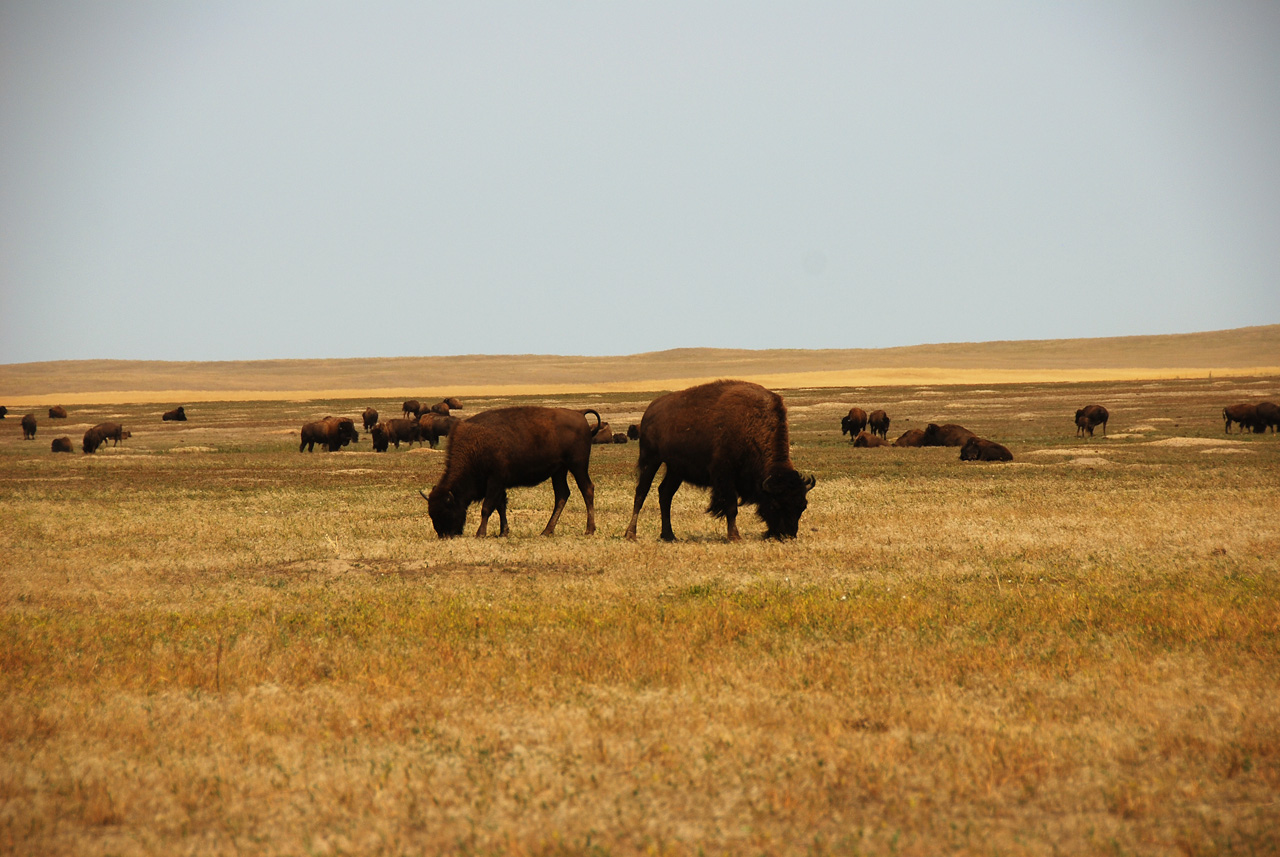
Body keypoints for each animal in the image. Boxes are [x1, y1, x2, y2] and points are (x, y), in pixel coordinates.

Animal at [417, 406, 601, 539]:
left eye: (445, 511)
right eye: (431, 513)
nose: (444, 535)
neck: (474, 446)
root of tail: (579, 414)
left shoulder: (495, 481)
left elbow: (487, 507)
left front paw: (480, 533)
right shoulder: (499, 485)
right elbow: (500, 506)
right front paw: (503, 532)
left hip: (577, 465)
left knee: (587, 489)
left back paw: (589, 530)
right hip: (559, 471)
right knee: (562, 494)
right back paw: (546, 531)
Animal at [624, 383, 814, 544]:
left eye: (802, 506)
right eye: (776, 504)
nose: (788, 535)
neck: (750, 423)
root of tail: (649, 412)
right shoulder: (725, 476)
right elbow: (731, 507)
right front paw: (735, 537)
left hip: (675, 470)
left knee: (665, 494)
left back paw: (669, 535)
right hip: (651, 460)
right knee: (641, 492)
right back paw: (631, 534)